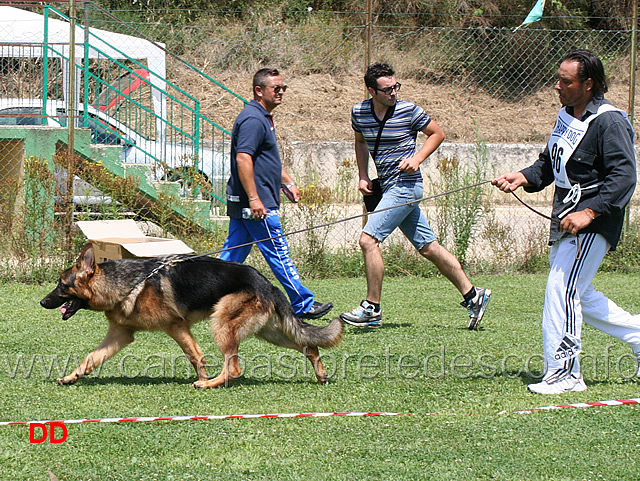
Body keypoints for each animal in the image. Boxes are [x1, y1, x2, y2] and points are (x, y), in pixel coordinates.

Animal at [42, 244, 342, 386]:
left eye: (61, 285)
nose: (43, 302)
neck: (125, 284)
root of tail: (267, 283)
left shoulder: (176, 326)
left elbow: (195, 356)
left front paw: (204, 378)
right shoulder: (120, 335)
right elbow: (90, 359)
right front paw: (71, 377)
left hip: (222, 324)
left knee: (234, 367)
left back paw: (210, 385)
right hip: (270, 332)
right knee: (309, 345)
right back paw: (321, 374)